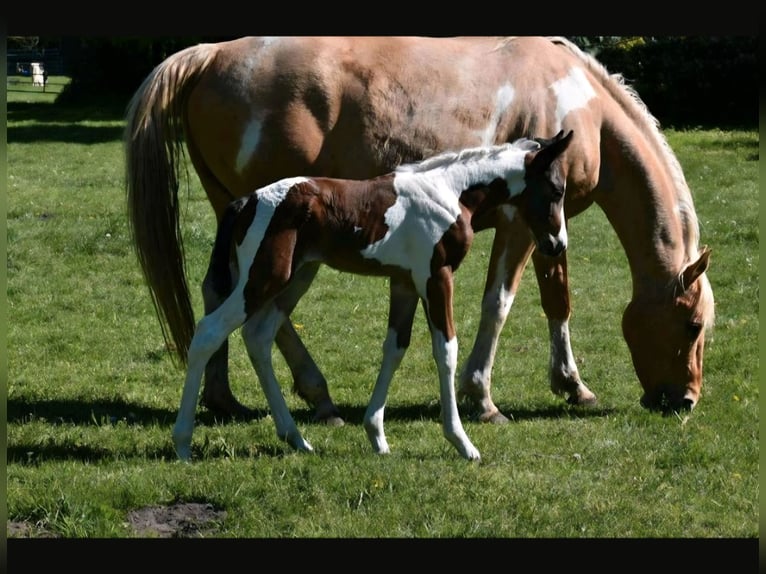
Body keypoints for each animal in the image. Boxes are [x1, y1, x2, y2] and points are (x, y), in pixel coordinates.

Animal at [125, 36, 715, 423]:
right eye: (692, 326)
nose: (685, 400)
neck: (577, 102)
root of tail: (211, 54)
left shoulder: (553, 225)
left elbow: (557, 300)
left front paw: (573, 386)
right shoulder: (522, 226)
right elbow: (499, 304)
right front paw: (482, 397)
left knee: (221, 293)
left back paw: (224, 396)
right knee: (260, 307)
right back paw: (315, 394)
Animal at [172, 131, 574, 461]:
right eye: (556, 190)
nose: (557, 245)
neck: (450, 190)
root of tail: (246, 201)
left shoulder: (405, 283)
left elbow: (395, 348)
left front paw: (377, 436)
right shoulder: (435, 276)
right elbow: (446, 350)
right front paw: (462, 443)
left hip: (296, 278)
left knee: (258, 336)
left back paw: (296, 438)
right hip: (263, 279)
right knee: (209, 332)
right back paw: (182, 443)